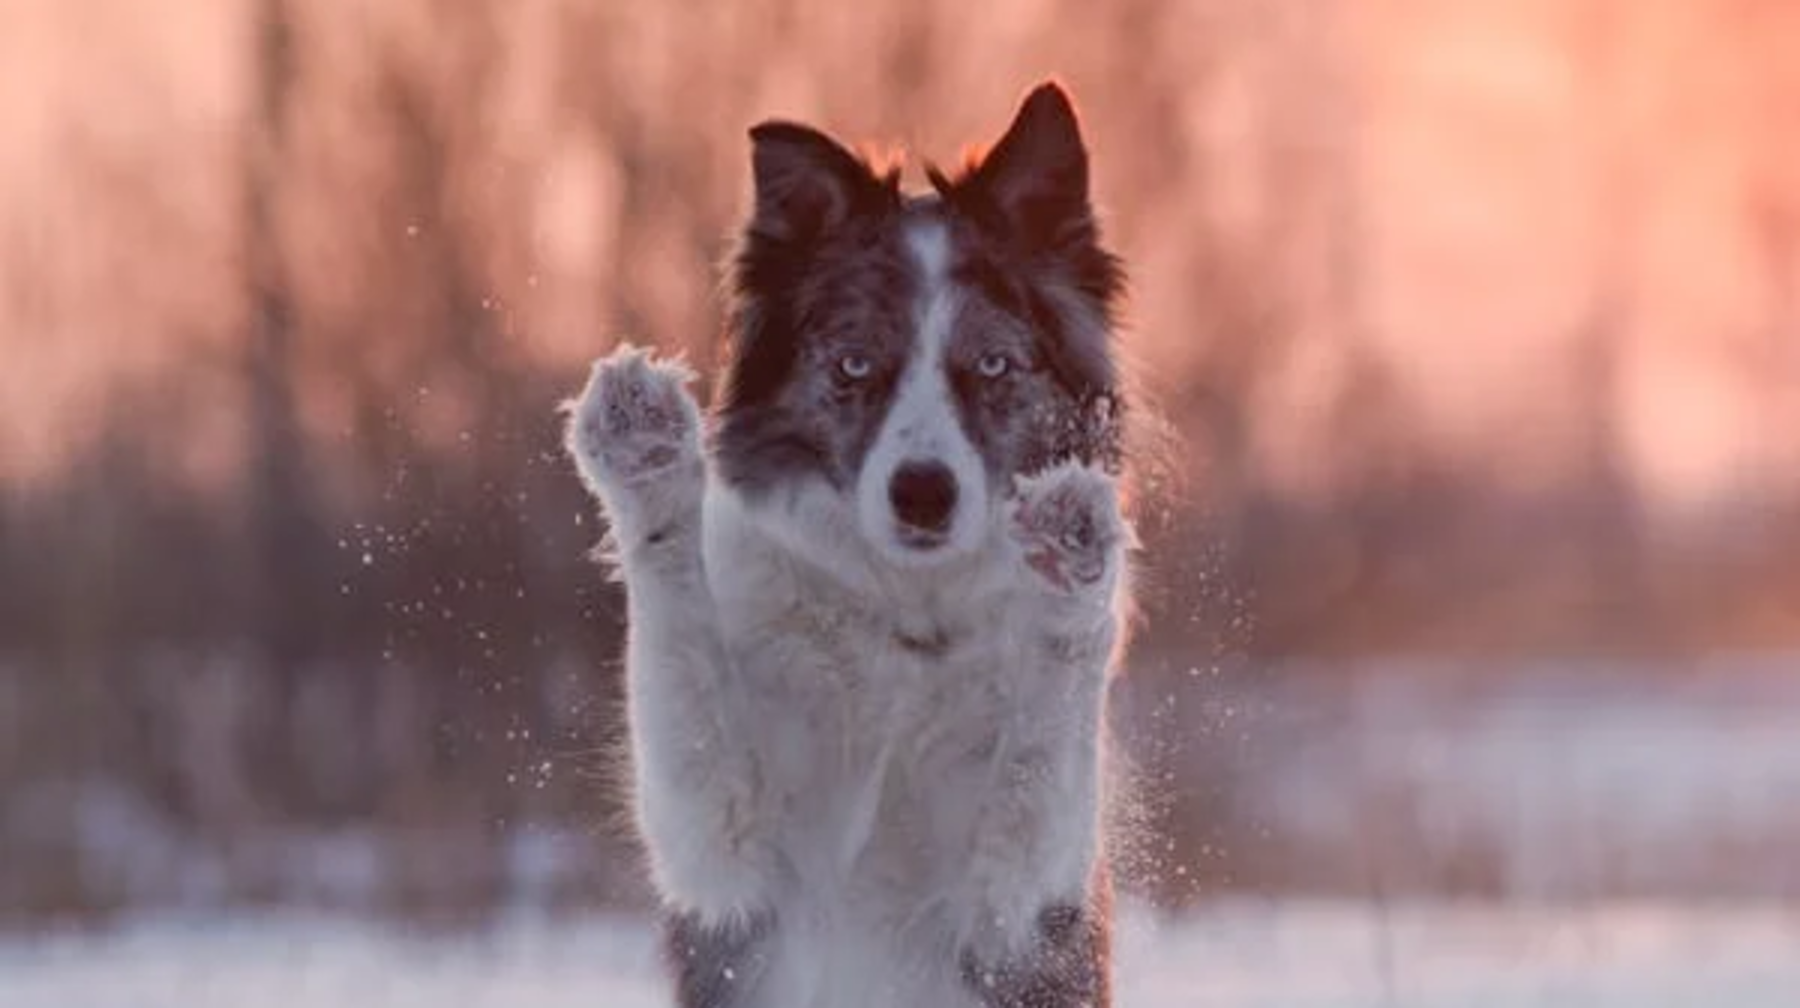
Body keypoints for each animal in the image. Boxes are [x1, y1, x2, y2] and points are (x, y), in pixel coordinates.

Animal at [561, 80, 1130, 1008]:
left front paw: (1072, 550)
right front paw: (645, 454)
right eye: (857, 365)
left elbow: (1048, 744)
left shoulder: (1020, 915)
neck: (906, 626)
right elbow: (678, 646)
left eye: (995, 366)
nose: (923, 492)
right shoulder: (726, 867)